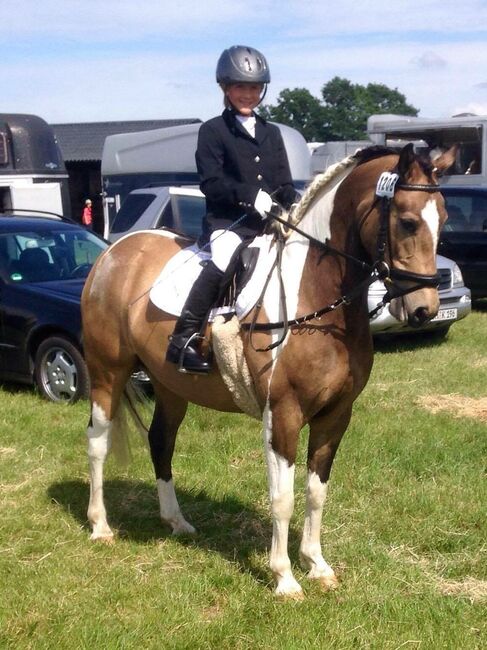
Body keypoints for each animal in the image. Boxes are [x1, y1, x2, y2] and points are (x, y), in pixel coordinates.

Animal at [81, 144, 458, 596]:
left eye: (444, 218)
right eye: (407, 220)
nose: (423, 309)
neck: (315, 296)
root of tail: (112, 252)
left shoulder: (336, 415)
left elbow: (316, 492)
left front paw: (317, 566)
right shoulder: (283, 413)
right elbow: (283, 498)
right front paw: (284, 578)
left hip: (170, 385)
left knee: (161, 442)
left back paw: (177, 522)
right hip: (108, 372)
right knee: (98, 441)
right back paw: (100, 526)